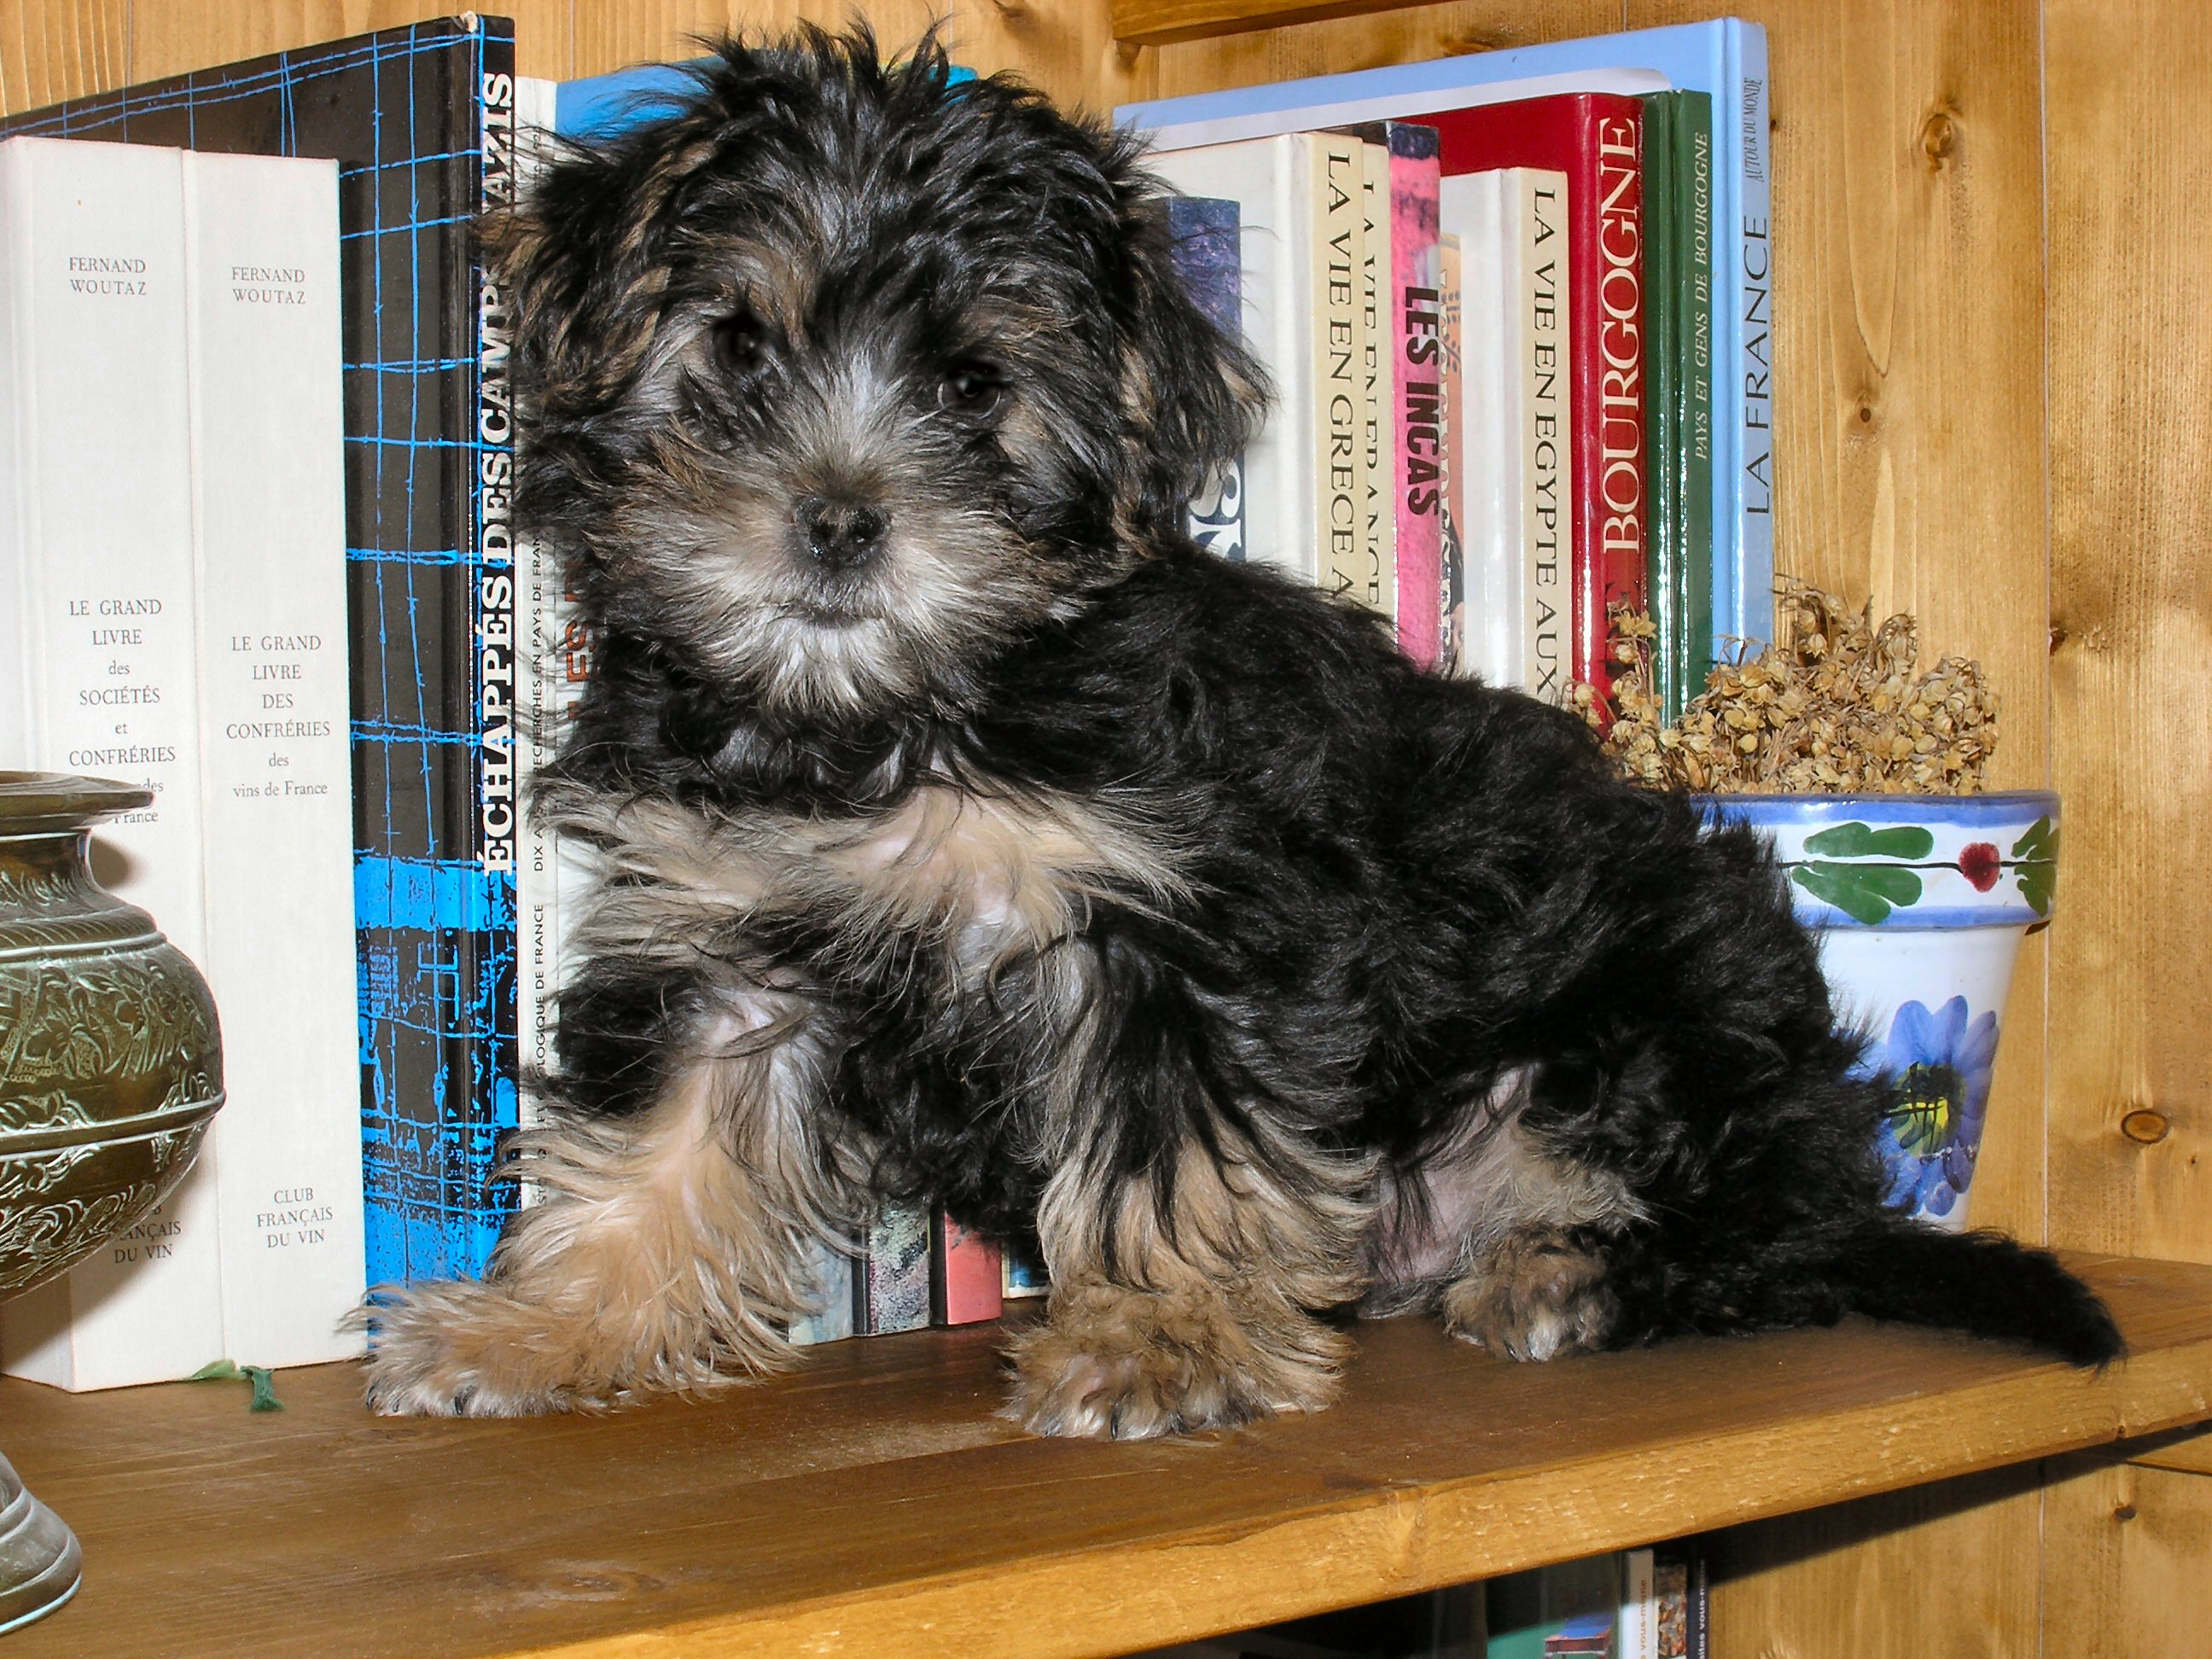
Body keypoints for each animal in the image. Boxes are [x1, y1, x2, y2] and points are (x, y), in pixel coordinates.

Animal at [358, 28, 2121, 1436]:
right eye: (734, 341)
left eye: (972, 384)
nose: (839, 522)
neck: (888, 717)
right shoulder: (723, 919)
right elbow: (651, 1147)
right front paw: (542, 1319)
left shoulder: (1175, 919)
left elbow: (1170, 1143)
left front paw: (1164, 1340)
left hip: (1663, 1024)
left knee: (1775, 1241)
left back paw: (1568, 1272)